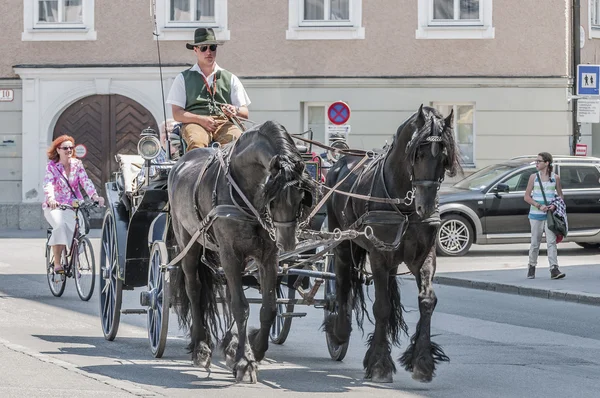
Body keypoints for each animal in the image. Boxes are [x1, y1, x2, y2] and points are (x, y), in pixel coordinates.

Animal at [166, 120, 316, 382]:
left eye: (301, 197)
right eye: (273, 198)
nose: (287, 243)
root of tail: (179, 164)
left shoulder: (268, 257)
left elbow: (269, 307)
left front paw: (254, 349)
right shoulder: (230, 254)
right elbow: (241, 306)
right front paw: (244, 362)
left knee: (225, 292)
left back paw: (229, 343)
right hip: (189, 244)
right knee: (194, 290)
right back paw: (200, 347)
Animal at [326, 105, 462, 382]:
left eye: (444, 157)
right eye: (418, 153)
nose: (425, 207)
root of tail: (342, 161)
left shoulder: (423, 255)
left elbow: (427, 301)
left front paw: (422, 361)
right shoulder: (379, 254)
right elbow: (381, 306)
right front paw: (379, 363)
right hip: (343, 243)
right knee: (343, 283)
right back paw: (339, 331)